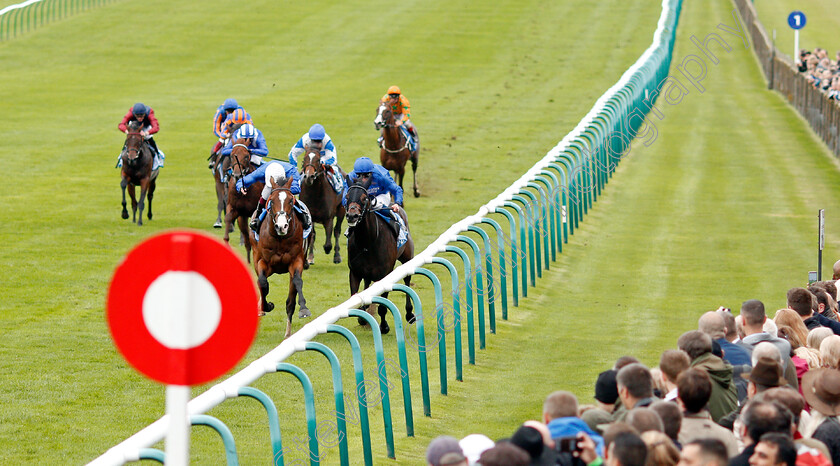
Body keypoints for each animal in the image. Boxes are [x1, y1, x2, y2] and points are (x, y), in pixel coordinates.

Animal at [253, 177, 316, 336]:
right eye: (271, 201)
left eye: (291, 201)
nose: (282, 226)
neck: (280, 238)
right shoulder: (263, 262)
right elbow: (262, 283)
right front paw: (266, 305)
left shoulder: (296, 261)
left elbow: (297, 282)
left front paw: (304, 310)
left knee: (290, 300)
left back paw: (288, 333)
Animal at [344, 179, 416, 334]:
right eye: (346, 196)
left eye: (364, 198)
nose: (352, 216)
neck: (366, 243)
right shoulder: (355, 272)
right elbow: (356, 298)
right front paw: (363, 317)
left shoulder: (384, 275)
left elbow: (383, 306)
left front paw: (384, 326)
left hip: (407, 257)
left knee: (407, 280)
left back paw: (409, 314)